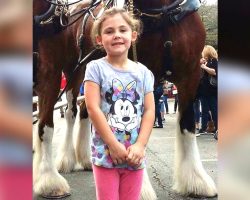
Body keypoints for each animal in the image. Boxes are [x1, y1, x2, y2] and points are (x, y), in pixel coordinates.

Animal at [32, 0, 217, 198]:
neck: (164, 14)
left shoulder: (190, 76)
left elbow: (187, 126)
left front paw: (196, 181)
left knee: (85, 112)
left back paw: (86, 159)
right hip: (74, 72)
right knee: (70, 112)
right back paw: (66, 160)